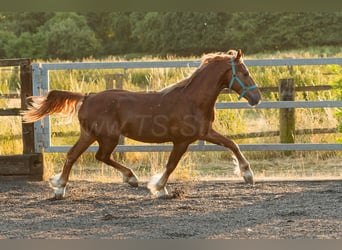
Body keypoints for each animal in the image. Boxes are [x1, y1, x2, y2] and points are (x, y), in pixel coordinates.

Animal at [22, 49, 262, 199]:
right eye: (245, 73)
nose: (257, 98)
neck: (192, 99)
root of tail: (87, 97)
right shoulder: (182, 141)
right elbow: (171, 165)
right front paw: (159, 188)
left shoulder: (205, 132)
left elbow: (232, 144)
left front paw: (248, 175)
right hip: (107, 137)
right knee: (100, 156)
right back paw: (131, 178)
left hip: (89, 135)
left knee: (74, 155)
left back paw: (60, 190)